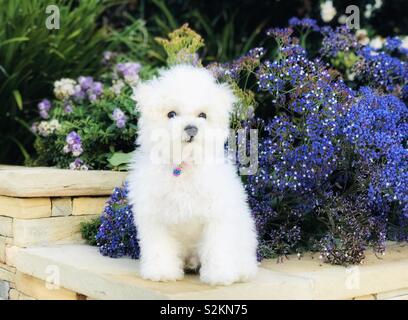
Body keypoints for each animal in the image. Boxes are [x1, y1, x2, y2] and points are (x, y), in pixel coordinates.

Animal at [128, 63, 258, 284]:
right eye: (171, 114)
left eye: (202, 115)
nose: (191, 129)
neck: (184, 165)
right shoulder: (155, 215)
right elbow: (159, 246)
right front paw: (162, 272)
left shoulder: (217, 215)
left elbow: (217, 246)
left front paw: (219, 275)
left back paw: (242, 270)